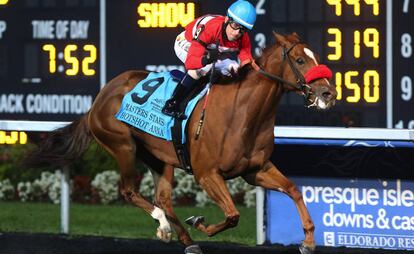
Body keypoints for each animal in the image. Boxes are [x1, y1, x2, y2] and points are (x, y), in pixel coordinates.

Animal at [25, 32, 336, 254]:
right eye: (300, 61)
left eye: (316, 56)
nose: (328, 94)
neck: (243, 113)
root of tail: (99, 98)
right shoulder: (207, 174)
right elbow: (233, 215)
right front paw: (199, 222)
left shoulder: (255, 169)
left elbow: (293, 190)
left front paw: (308, 240)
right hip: (123, 145)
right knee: (128, 191)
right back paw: (163, 225)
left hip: (159, 156)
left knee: (162, 197)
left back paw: (185, 239)